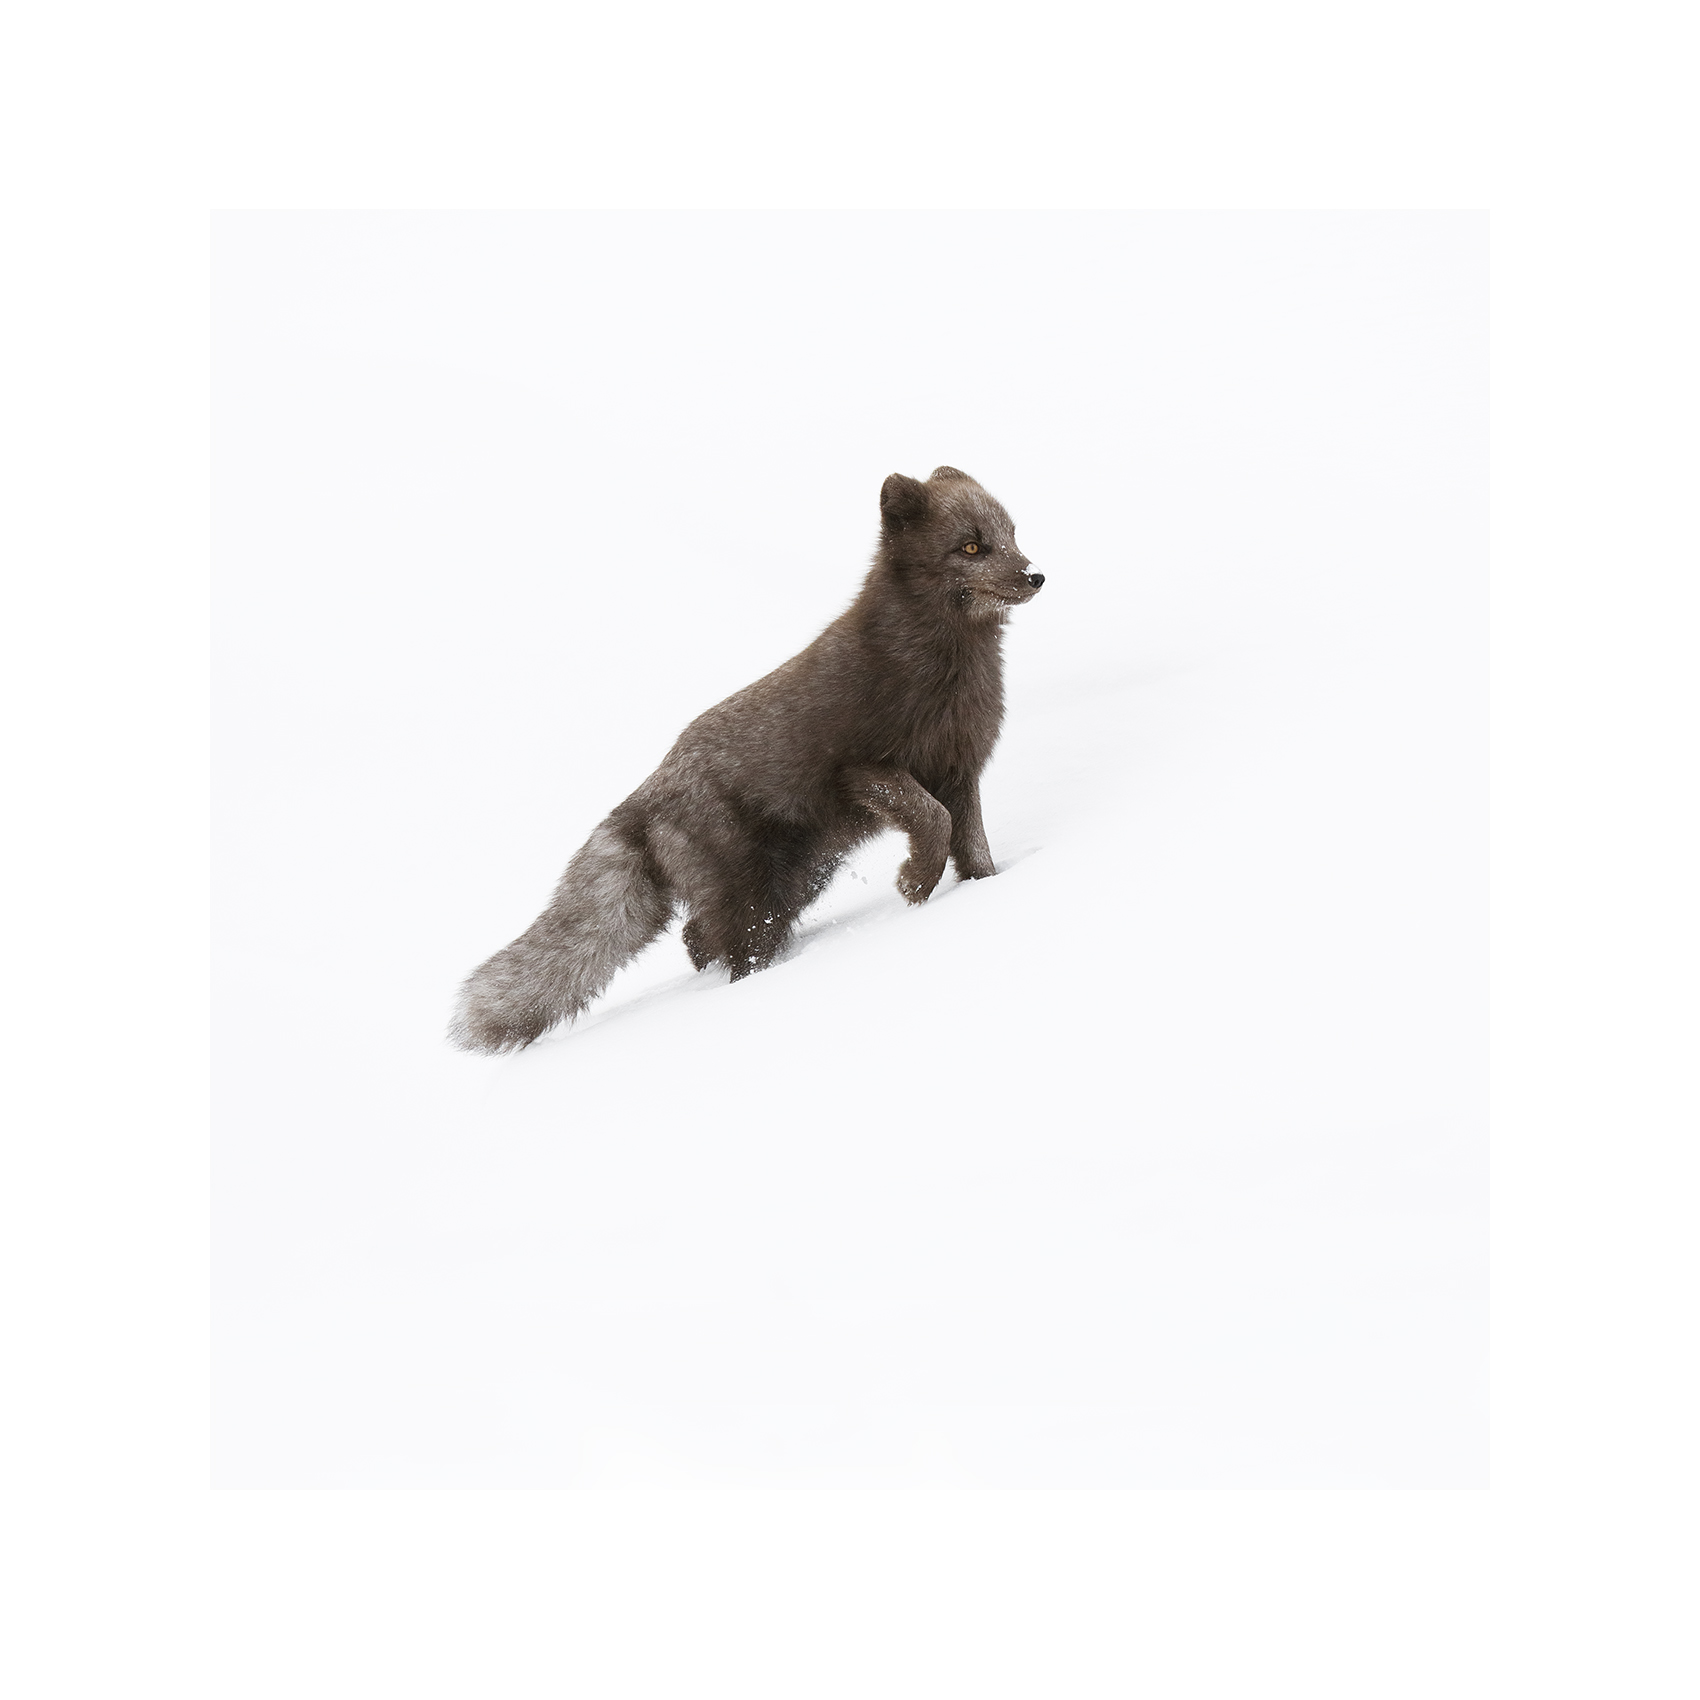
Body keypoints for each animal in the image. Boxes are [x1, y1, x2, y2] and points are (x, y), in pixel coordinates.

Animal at [450, 465, 1045, 1052]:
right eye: (971, 546)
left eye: (1012, 536)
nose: (1036, 575)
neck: (941, 669)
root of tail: (645, 795)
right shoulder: (864, 768)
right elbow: (934, 821)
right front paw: (916, 884)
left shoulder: (960, 769)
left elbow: (971, 844)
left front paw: (984, 888)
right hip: (760, 896)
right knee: (734, 954)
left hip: (800, 879)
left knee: (697, 939)